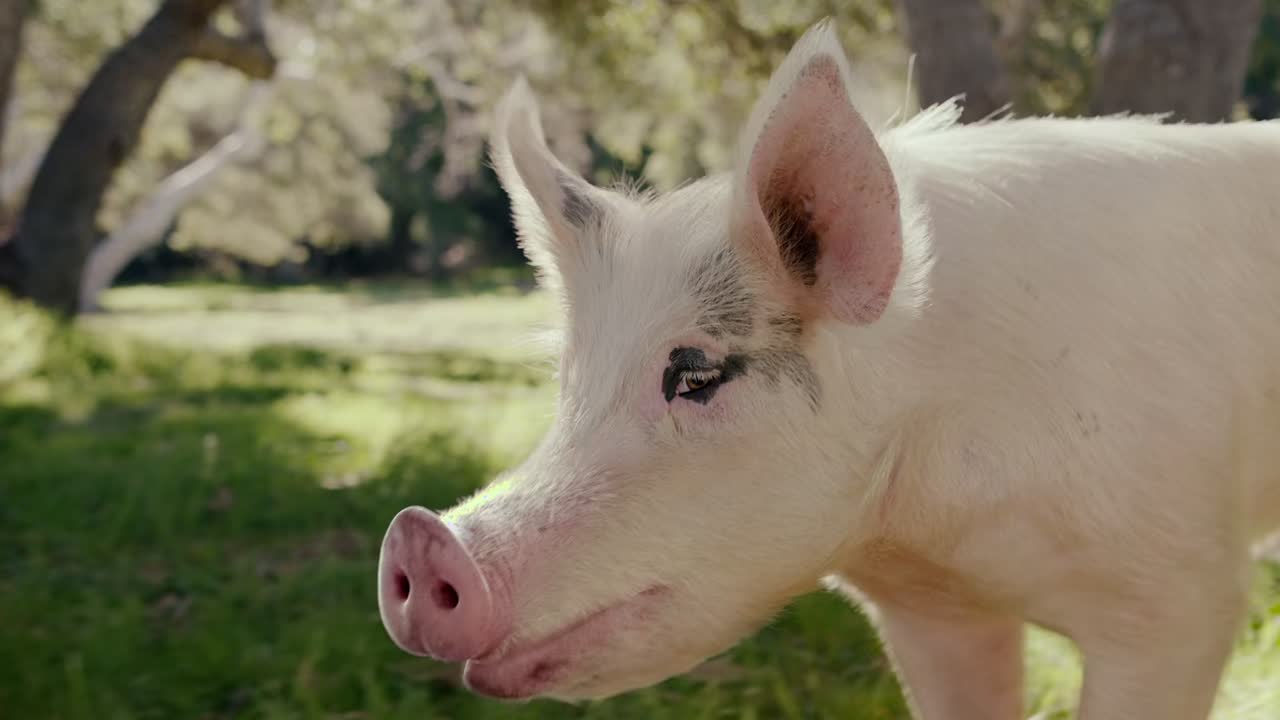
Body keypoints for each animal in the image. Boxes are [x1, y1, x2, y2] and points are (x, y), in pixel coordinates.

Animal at [376, 19, 1280, 720]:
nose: (422, 537)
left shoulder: (1184, 591)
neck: (929, 524)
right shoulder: (934, 615)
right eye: (569, 383)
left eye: (696, 374)